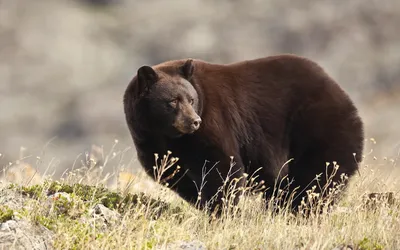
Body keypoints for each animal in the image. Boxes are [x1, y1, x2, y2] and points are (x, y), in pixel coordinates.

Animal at [123, 53, 364, 216]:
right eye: (172, 101)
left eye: (191, 99)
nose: (194, 121)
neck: (166, 134)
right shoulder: (150, 142)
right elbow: (174, 175)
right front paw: (204, 203)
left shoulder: (213, 119)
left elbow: (221, 167)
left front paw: (221, 210)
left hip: (316, 125)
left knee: (318, 176)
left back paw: (299, 211)